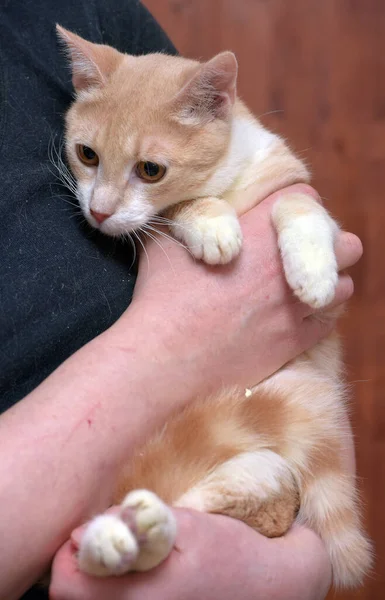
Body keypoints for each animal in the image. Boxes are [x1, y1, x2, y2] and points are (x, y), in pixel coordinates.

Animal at [55, 25, 370, 588]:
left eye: (150, 169)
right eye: (87, 154)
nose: (99, 212)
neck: (229, 179)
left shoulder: (298, 194)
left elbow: (299, 207)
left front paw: (312, 271)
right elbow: (183, 207)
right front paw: (212, 224)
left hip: (268, 461)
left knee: (203, 508)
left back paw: (131, 533)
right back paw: (115, 539)